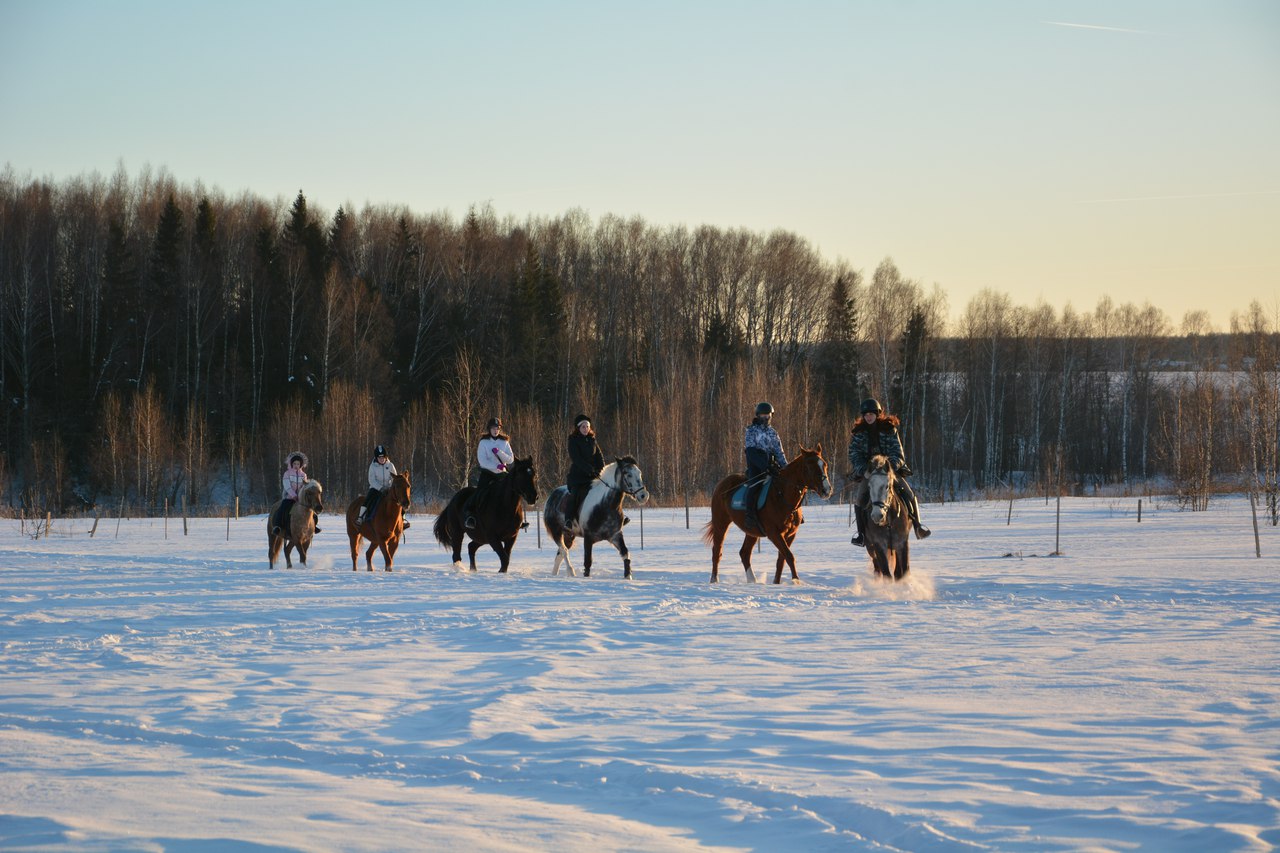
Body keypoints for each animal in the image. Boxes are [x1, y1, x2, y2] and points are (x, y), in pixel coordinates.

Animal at [706, 440, 834, 581]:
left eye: (825, 464)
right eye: (810, 467)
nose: (827, 490)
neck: (783, 495)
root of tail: (721, 485)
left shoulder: (790, 534)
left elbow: (781, 560)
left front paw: (777, 582)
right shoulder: (774, 533)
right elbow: (789, 556)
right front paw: (796, 581)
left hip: (752, 532)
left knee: (744, 553)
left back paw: (753, 580)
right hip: (721, 524)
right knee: (717, 552)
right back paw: (714, 579)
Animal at [855, 450, 916, 578]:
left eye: (887, 486)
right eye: (869, 487)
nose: (877, 516)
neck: (889, 521)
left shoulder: (902, 543)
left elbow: (904, 571)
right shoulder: (879, 545)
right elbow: (886, 573)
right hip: (870, 547)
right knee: (877, 569)